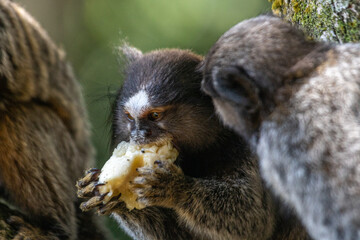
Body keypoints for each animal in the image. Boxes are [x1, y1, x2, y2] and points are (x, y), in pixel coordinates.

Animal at [76, 46, 310, 239]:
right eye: (129, 117)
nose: (138, 135)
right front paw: (112, 196)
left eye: (154, 115)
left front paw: (175, 187)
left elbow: (253, 221)